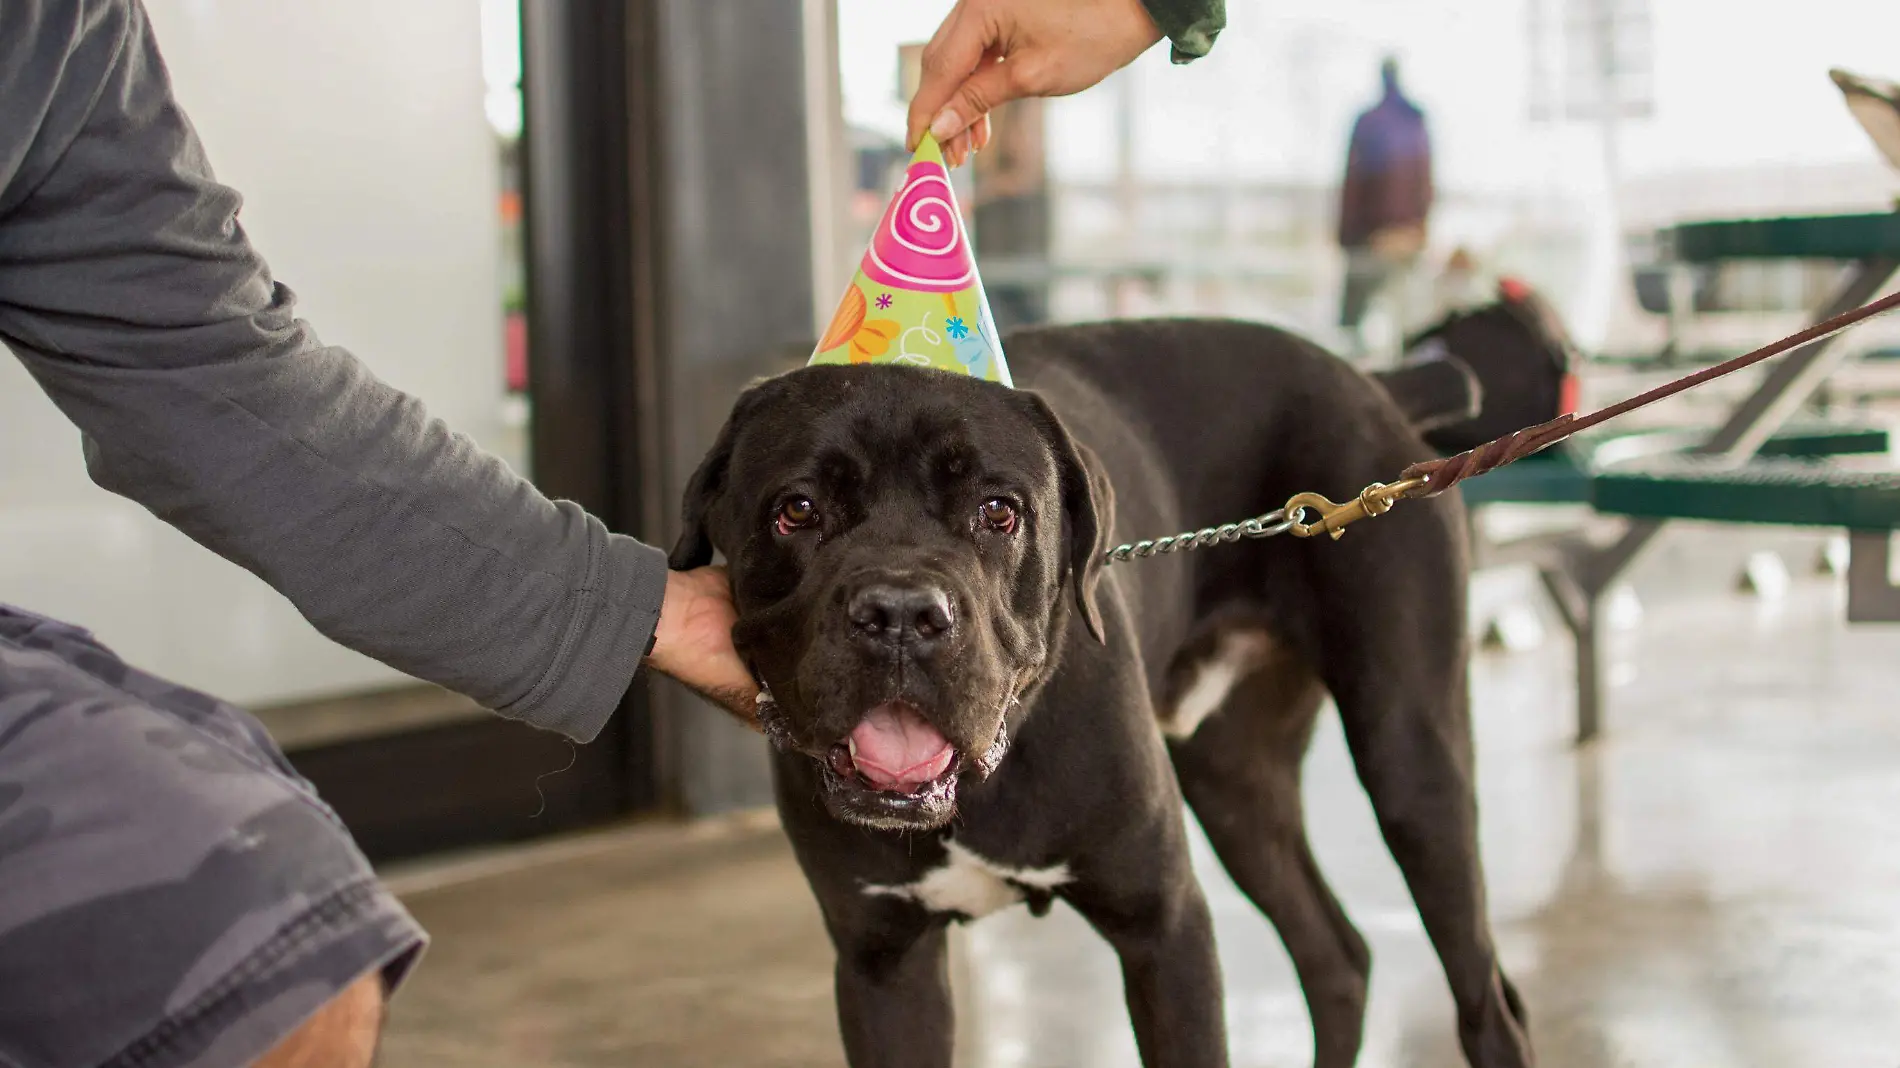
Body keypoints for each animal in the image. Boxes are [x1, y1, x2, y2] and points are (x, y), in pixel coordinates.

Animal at [676, 317, 1535, 1064]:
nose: (900, 615)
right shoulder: (883, 965)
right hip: (1235, 783)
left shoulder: (1165, 929)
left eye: (999, 511)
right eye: (797, 510)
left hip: (1412, 768)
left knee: (1485, 1003)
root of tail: (1373, 380)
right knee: (1337, 958)